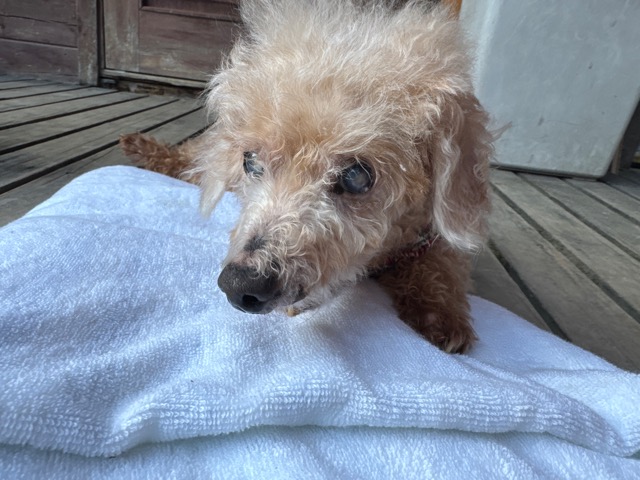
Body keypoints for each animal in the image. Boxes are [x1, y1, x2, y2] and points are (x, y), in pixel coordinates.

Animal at [120, 0, 493, 353]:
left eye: (357, 177)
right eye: (250, 162)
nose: (241, 285)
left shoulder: (432, 237)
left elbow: (444, 264)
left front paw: (443, 315)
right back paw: (142, 148)